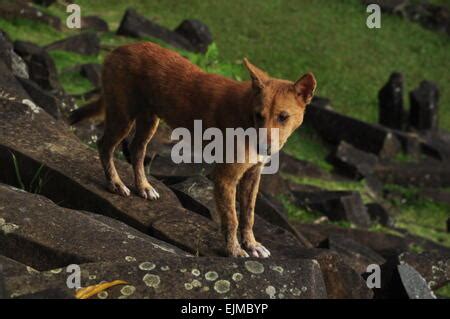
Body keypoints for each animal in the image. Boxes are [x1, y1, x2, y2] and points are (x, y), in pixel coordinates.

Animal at [70, 41, 316, 258]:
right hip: (123, 116)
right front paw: (234, 251)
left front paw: (252, 245)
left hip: (149, 120)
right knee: (105, 145)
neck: (245, 115)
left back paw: (143, 187)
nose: (263, 147)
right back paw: (115, 183)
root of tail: (118, 49)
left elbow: (248, 215)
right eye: (259, 115)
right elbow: (232, 219)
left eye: (283, 117)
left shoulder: (252, 175)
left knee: (137, 150)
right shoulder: (225, 176)